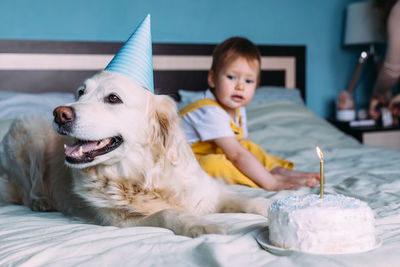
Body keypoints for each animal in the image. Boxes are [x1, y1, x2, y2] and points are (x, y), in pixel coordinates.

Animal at [0, 70, 270, 237]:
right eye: (80, 92)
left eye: (113, 98)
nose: (60, 113)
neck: (143, 178)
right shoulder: (121, 221)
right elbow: (167, 213)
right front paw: (201, 224)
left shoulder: (211, 192)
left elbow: (249, 199)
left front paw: (272, 206)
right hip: (27, 130)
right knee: (29, 186)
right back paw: (40, 201)